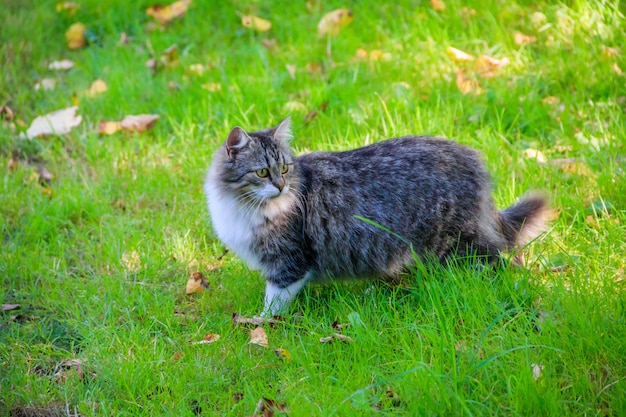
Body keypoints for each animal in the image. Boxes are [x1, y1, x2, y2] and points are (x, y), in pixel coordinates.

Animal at [204, 117, 544, 316]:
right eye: (263, 172)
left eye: (284, 168)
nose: (281, 185)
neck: (243, 206)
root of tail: (472, 157)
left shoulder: (288, 261)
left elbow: (274, 302)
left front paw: (262, 325)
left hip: (458, 240)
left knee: (497, 259)